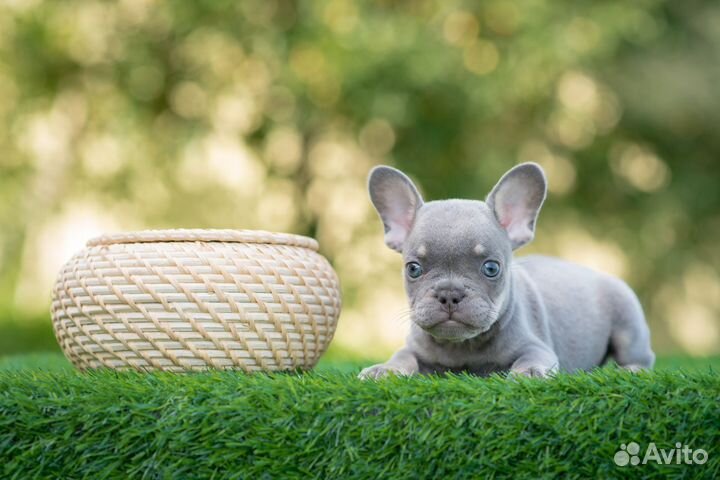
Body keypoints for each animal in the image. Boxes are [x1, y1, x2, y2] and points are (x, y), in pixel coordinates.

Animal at [358, 163, 656, 380]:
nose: (449, 293)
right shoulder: (413, 348)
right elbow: (402, 357)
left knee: (641, 357)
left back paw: (631, 370)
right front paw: (385, 369)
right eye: (413, 269)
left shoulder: (537, 347)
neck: (462, 346)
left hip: (629, 325)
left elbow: (531, 358)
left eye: (491, 268)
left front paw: (530, 372)